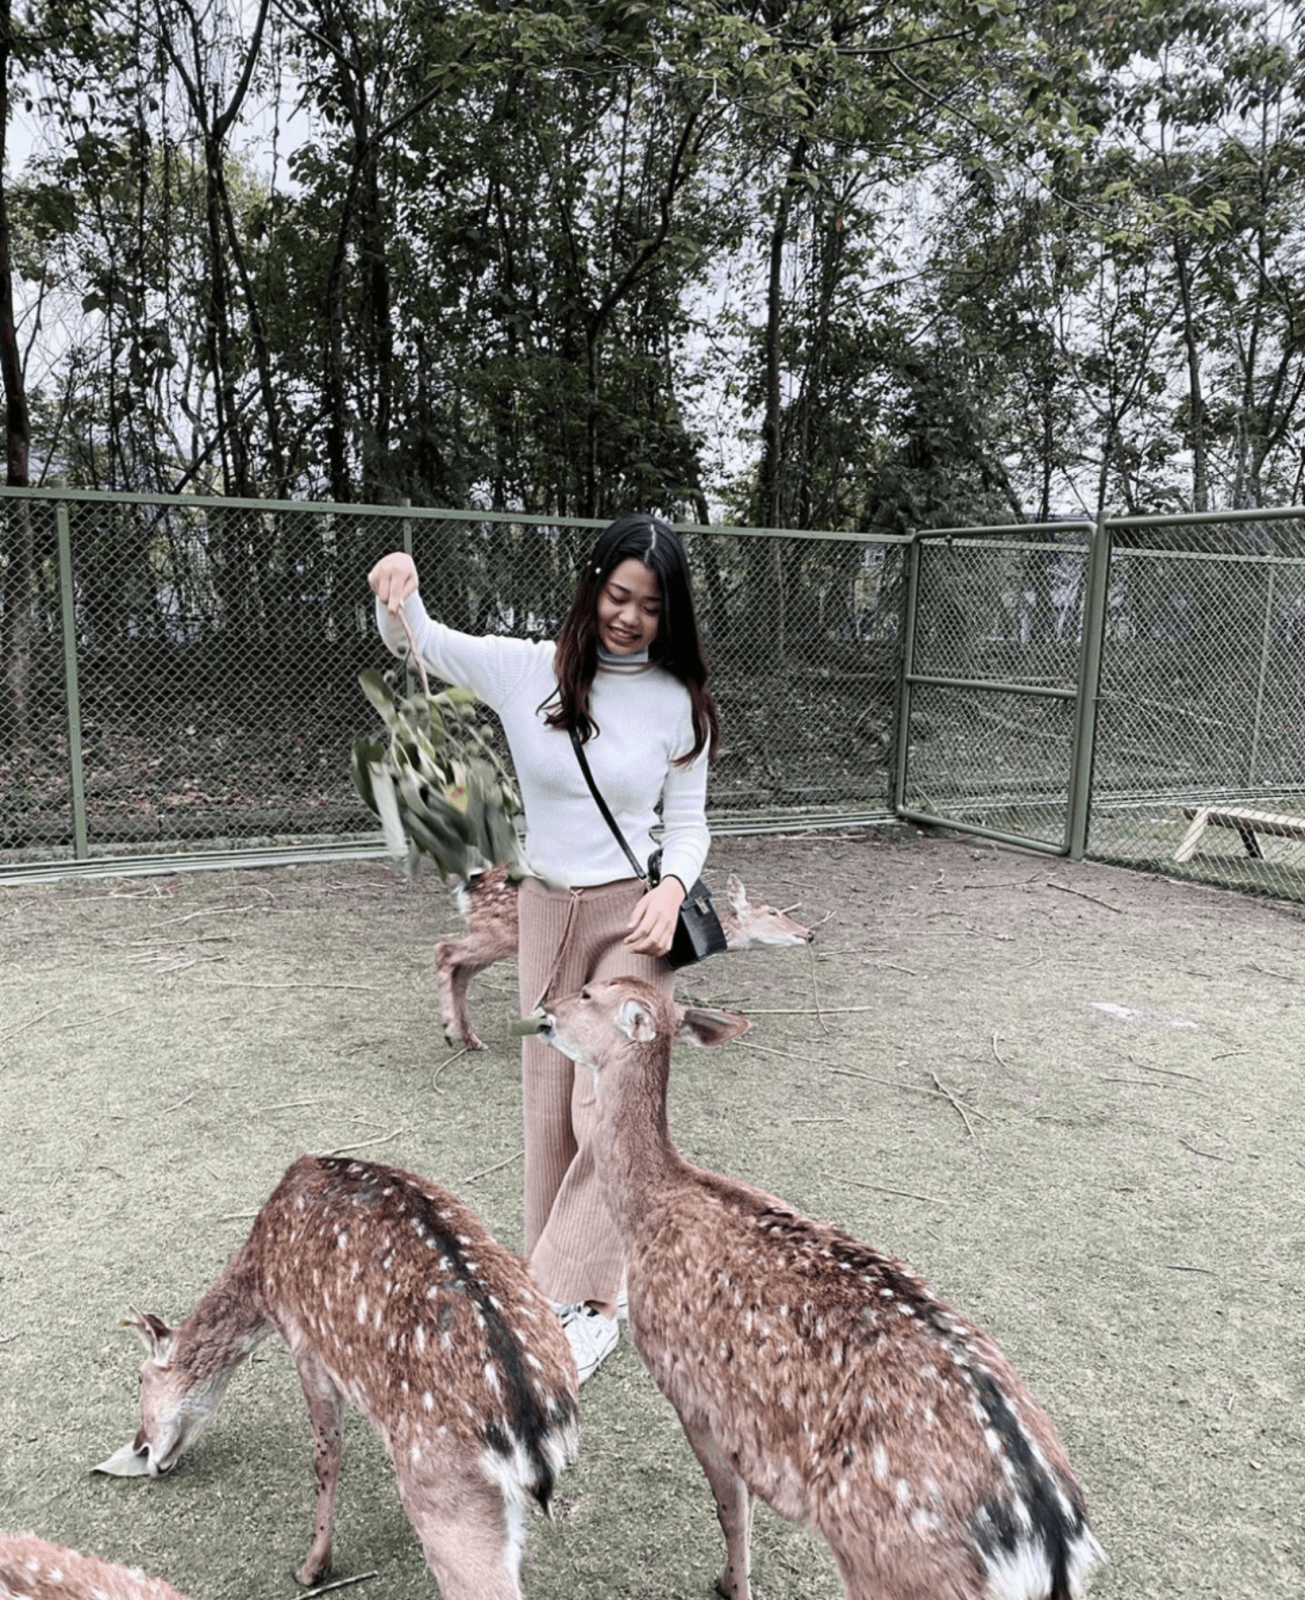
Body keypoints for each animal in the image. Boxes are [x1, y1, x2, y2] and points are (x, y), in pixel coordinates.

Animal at [109, 1158, 578, 1593]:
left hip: (445, 1488)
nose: (140, 1446)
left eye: (139, 1378)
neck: (262, 1277)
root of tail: (532, 1422)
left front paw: (313, 1567)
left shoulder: (305, 1342)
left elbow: (326, 1456)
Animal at [435, 870, 806, 1056]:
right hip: (499, 932)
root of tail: (468, 886)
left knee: (461, 970)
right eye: (773, 912)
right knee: (445, 950)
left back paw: (471, 1039)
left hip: (492, 934)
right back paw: (451, 1030)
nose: (808, 933)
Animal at [534, 972, 1106, 1600]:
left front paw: (731, 1584)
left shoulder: (693, 1395)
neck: (651, 1208)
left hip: (895, 1564)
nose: (545, 1009)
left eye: (588, 994)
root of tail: (1048, 1537)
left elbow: (731, 1510)